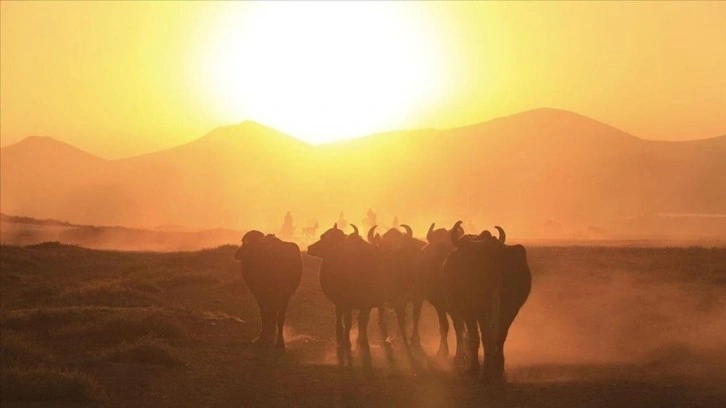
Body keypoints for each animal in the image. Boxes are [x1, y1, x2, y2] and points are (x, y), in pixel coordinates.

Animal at [440, 222, 532, 380]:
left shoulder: (468, 312)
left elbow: (473, 336)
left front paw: (473, 367)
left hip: (481, 308)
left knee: (484, 335)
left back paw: (484, 370)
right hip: (509, 309)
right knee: (501, 335)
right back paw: (498, 368)